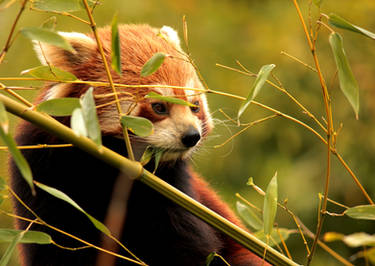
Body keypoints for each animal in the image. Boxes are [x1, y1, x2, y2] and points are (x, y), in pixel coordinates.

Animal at [8, 23, 268, 264]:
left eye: (194, 106)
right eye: (159, 107)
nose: (192, 136)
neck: (106, 174)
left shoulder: (175, 193)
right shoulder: (41, 177)